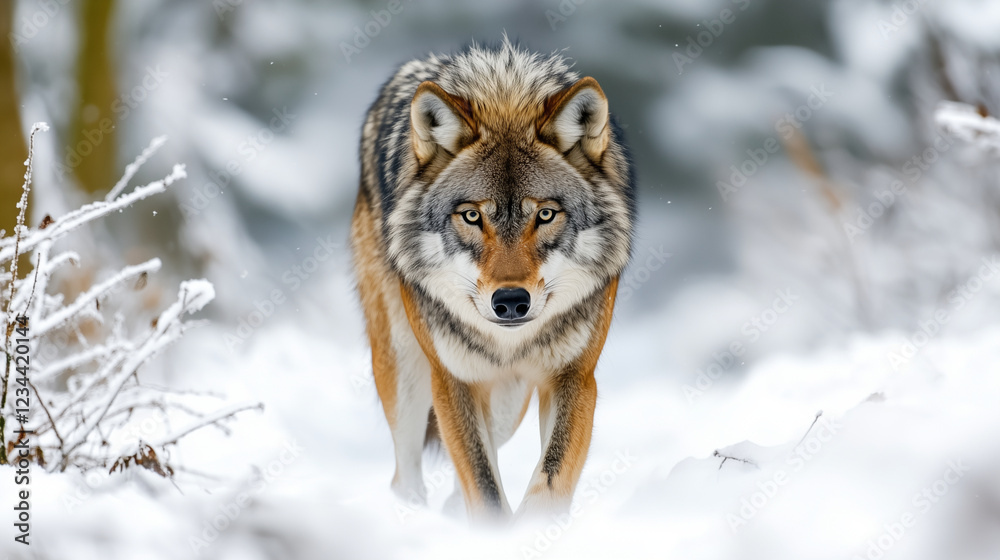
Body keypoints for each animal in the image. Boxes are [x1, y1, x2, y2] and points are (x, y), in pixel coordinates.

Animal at [350, 37, 636, 519]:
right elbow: (483, 488)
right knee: (405, 472)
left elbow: (548, 480)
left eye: (545, 215)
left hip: (507, 400)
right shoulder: (453, 380)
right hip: (405, 369)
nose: (511, 301)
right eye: (472, 216)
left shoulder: (575, 377)